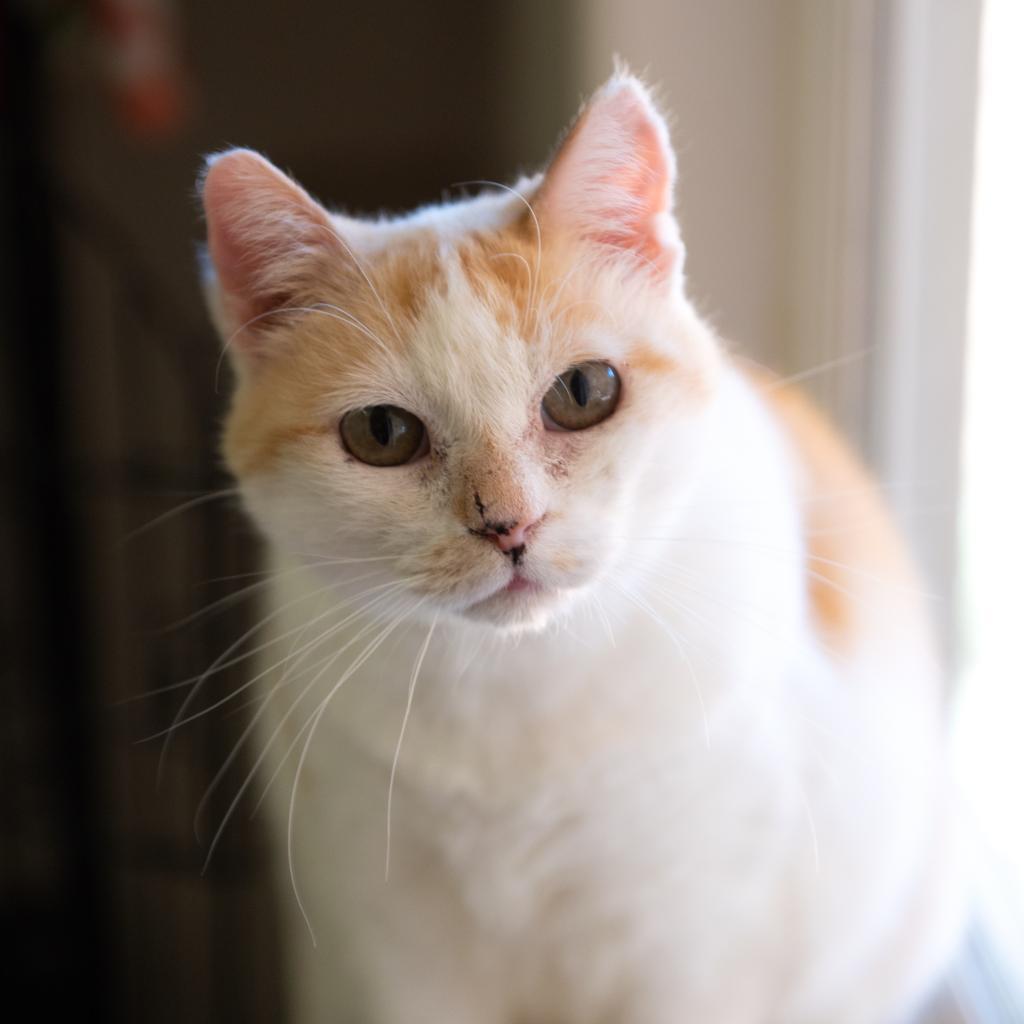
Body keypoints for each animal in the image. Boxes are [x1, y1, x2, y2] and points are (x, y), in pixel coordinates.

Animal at [195, 74, 962, 1024]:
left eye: (585, 392)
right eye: (381, 434)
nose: (509, 524)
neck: (517, 698)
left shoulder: (692, 960)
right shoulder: (392, 965)